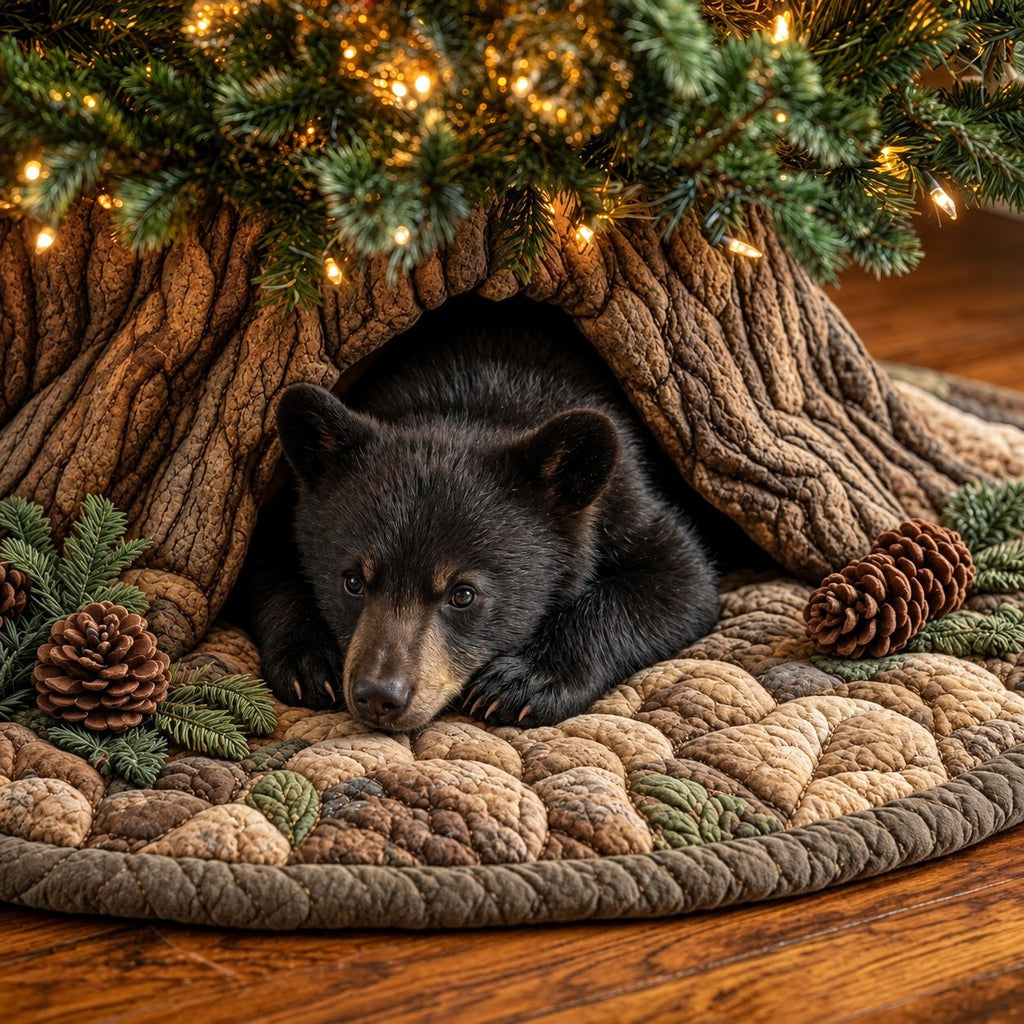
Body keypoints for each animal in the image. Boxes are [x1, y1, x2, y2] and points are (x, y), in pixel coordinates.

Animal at [245, 298, 721, 731]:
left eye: (463, 594)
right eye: (352, 582)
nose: (379, 695)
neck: (470, 406)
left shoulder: (627, 502)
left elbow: (682, 581)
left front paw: (524, 681)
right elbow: (267, 561)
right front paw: (309, 660)